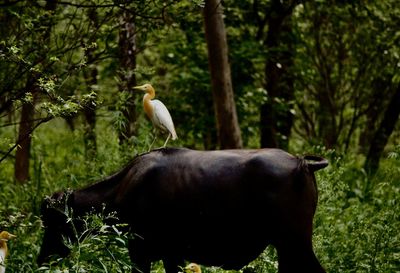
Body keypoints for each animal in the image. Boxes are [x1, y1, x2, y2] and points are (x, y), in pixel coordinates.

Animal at [38, 148, 328, 272]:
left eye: (53, 220)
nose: (42, 259)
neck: (123, 189)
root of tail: (302, 162)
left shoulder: (141, 254)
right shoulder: (172, 256)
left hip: (295, 244)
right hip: (288, 248)